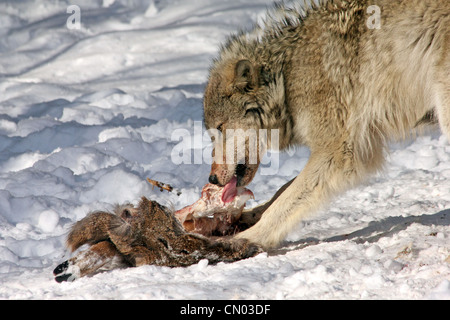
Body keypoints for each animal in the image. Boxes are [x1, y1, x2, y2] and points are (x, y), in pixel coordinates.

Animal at [204, 0, 450, 249]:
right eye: (212, 133)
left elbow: (287, 199)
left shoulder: (336, 151)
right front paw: (250, 216)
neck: (286, 78)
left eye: (219, 128)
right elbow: (282, 191)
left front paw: (246, 238)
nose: (211, 179)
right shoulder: (359, 146)